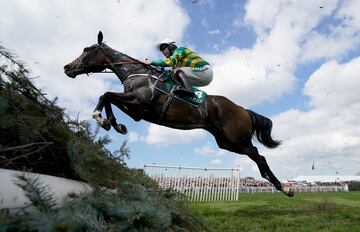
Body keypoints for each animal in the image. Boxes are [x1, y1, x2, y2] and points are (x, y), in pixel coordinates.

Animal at [64, 31, 294, 197]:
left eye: (87, 49)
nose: (67, 67)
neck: (136, 74)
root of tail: (243, 109)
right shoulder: (137, 110)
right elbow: (108, 97)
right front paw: (113, 123)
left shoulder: (140, 102)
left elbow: (106, 95)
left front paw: (100, 118)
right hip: (226, 142)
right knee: (257, 157)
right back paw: (277, 184)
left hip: (237, 138)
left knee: (259, 156)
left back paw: (284, 187)